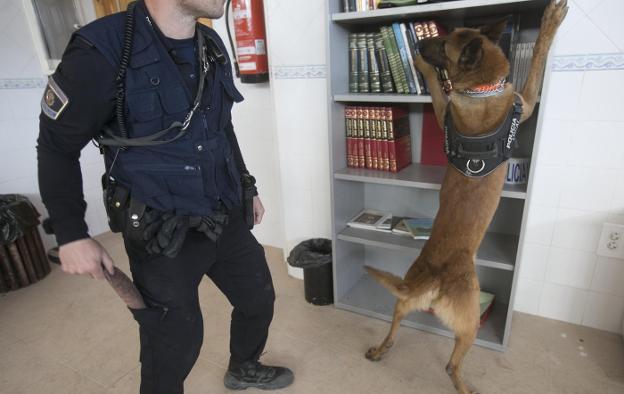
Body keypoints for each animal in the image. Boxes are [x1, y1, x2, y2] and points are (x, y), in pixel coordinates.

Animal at [364, 1, 568, 392]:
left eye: (443, 44)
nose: (418, 46)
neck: (481, 88)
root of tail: (433, 279)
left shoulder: (446, 106)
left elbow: (438, 86)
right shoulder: (527, 100)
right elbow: (538, 54)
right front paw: (551, 20)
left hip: (405, 299)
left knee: (395, 325)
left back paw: (380, 349)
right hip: (470, 321)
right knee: (451, 365)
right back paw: (464, 385)